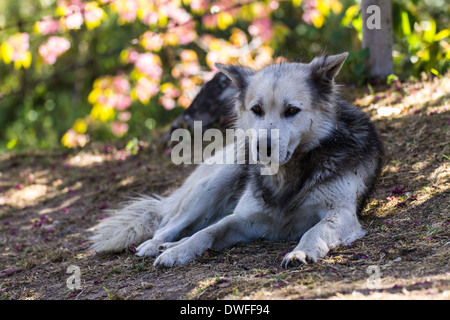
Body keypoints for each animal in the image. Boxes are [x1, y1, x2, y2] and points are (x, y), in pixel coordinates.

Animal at [90, 52, 384, 268]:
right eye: (256, 109)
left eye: (292, 110)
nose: (261, 148)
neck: (287, 176)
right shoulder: (244, 219)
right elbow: (208, 232)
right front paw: (179, 252)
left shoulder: (341, 214)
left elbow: (314, 231)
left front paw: (300, 252)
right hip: (216, 182)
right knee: (170, 225)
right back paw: (158, 244)